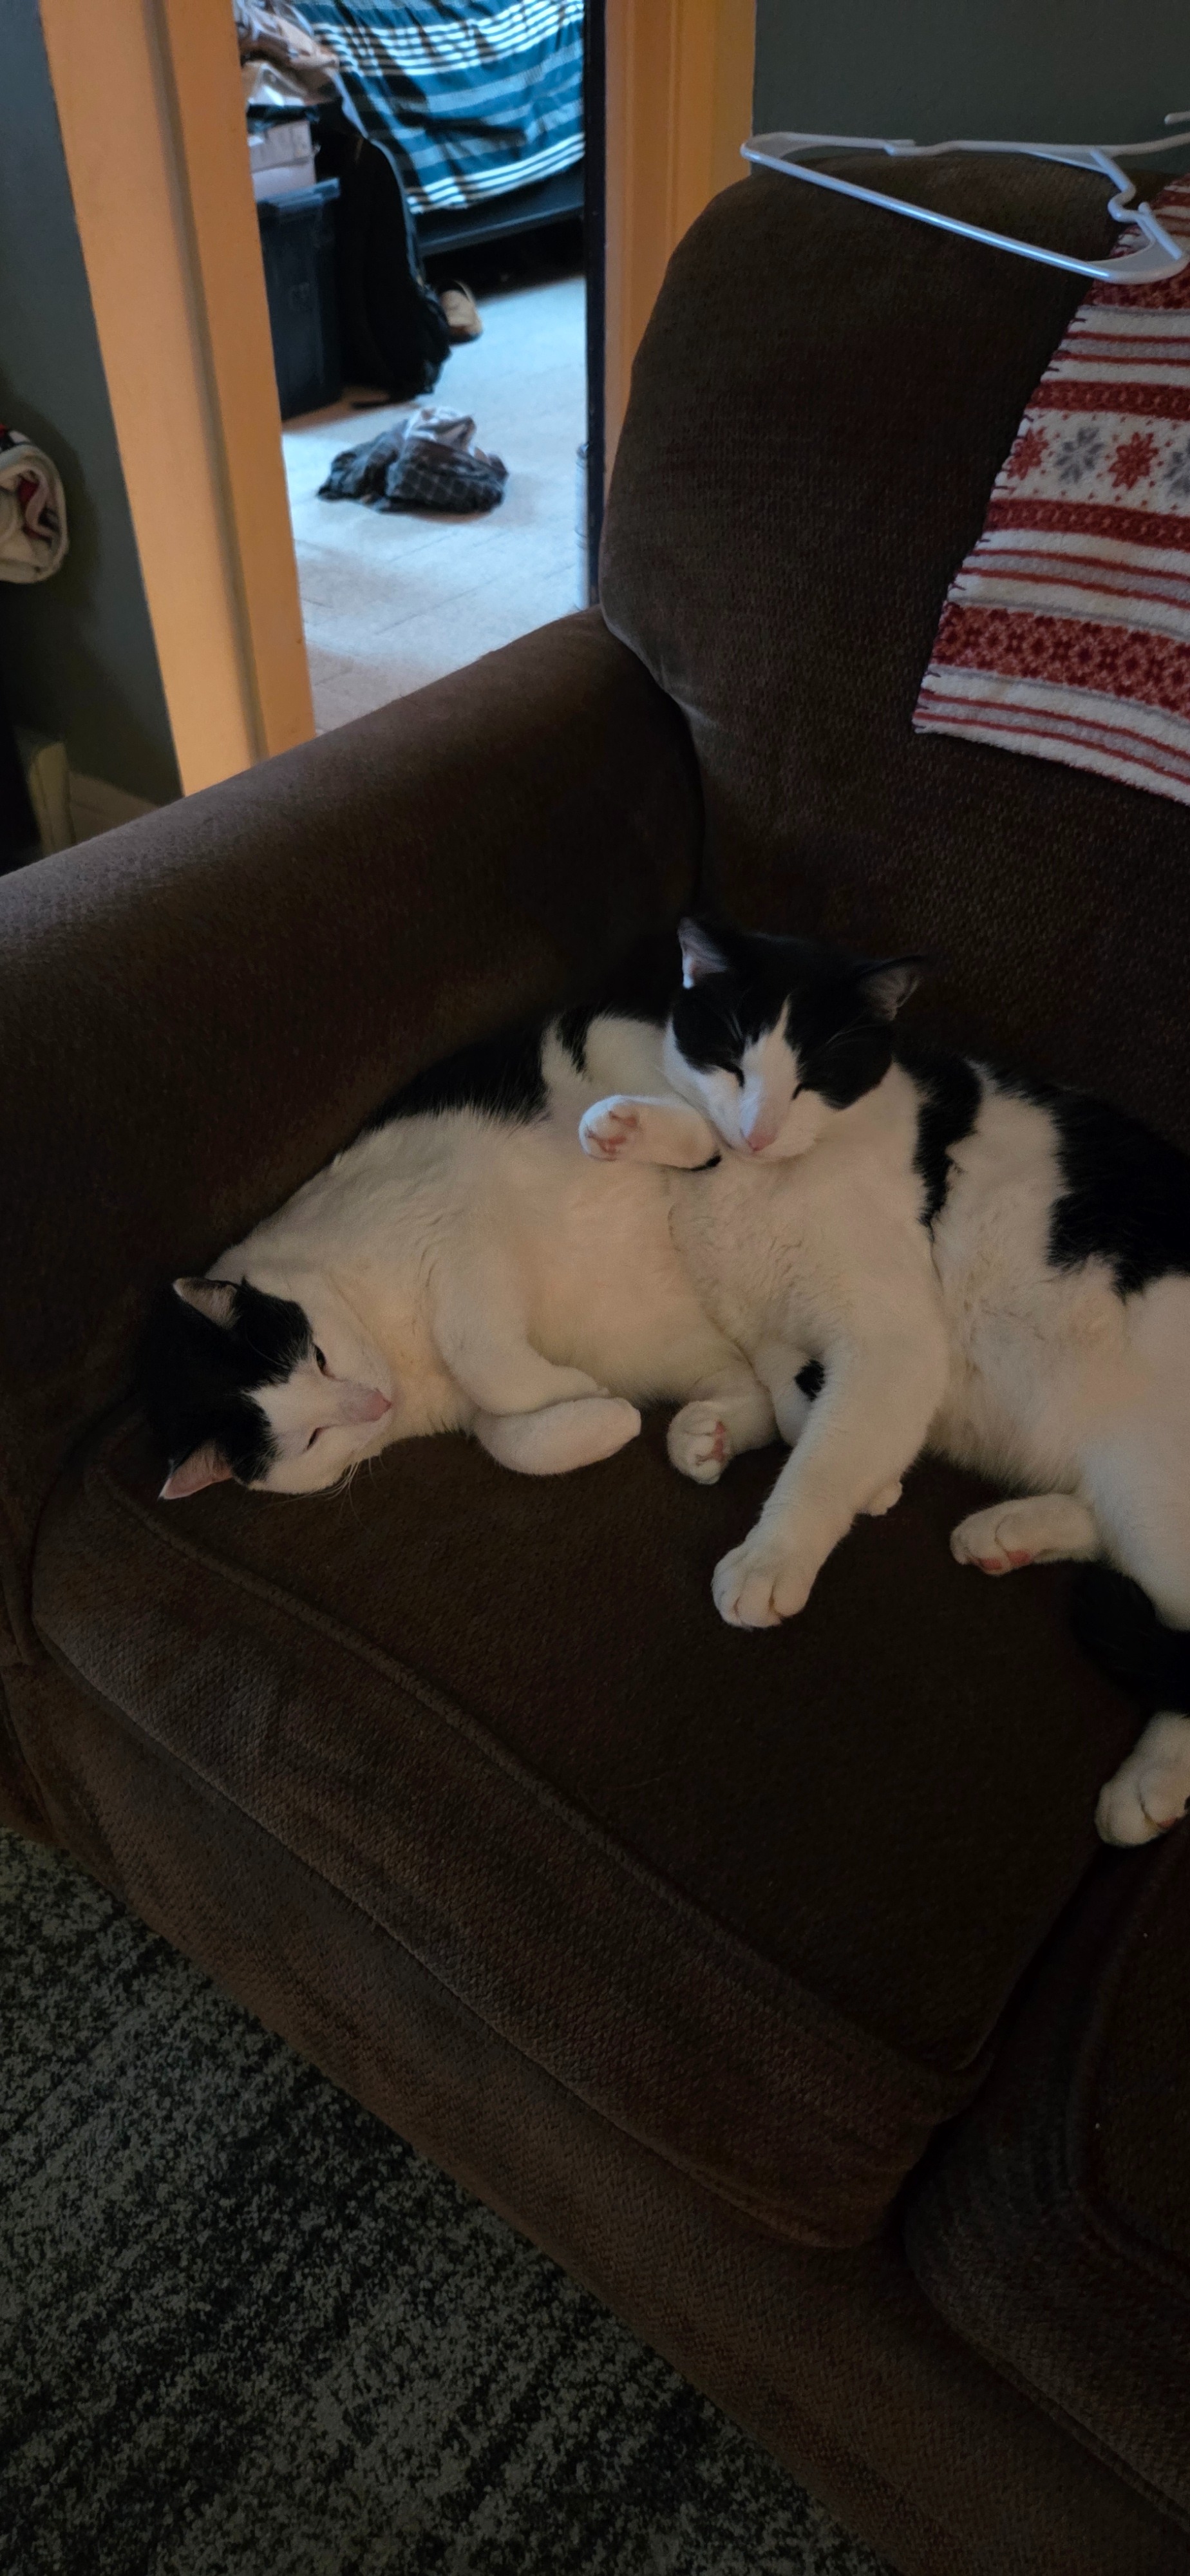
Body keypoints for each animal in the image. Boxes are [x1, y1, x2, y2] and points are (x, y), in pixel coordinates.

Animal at [578, 915, 1190, 1849]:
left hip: (1155, 1471)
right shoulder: (773, 1333)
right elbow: (796, 1410)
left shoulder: (894, 1347)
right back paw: (1007, 1532)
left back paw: (1150, 1784)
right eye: (732, 1061)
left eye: (814, 1079)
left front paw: (780, 1551)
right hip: (1128, 1481)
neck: (757, 1188)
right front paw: (723, 1434)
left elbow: (821, 1458)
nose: (758, 1133)